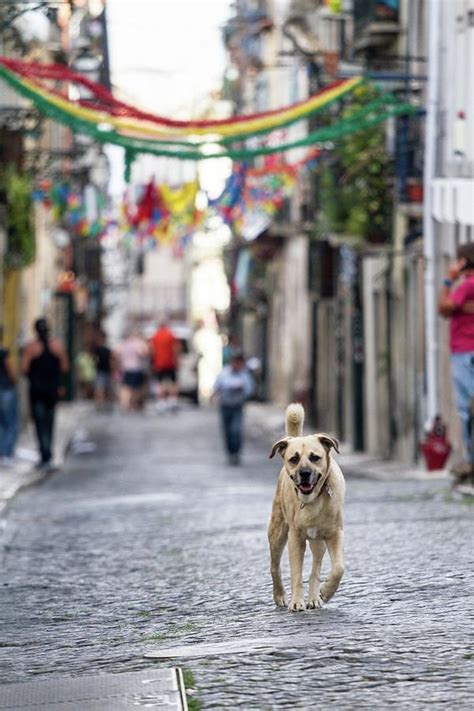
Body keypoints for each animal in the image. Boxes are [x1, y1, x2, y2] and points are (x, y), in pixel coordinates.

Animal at [270, 406, 344, 612]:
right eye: (294, 459)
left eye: (315, 457)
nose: (304, 473)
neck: (313, 500)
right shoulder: (295, 539)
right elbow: (296, 574)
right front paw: (296, 601)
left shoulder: (335, 534)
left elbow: (339, 568)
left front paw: (326, 591)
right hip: (277, 533)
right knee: (274, 567)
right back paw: (280, 595)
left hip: (319, 543)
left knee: (315, 570)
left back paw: (314, 598)